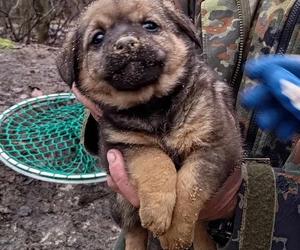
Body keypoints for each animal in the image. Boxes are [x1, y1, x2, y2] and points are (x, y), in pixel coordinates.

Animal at [57, 0, 243, 249]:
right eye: (98, 37)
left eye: (150, 25)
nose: (126, 44)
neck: (153, 106)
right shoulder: (126, 144)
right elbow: (156, 163)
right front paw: (157, 213)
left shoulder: (216, 142)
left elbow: (191, 185)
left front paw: (175, 234)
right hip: (122, 203)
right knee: (134, 232)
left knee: (200, 230)